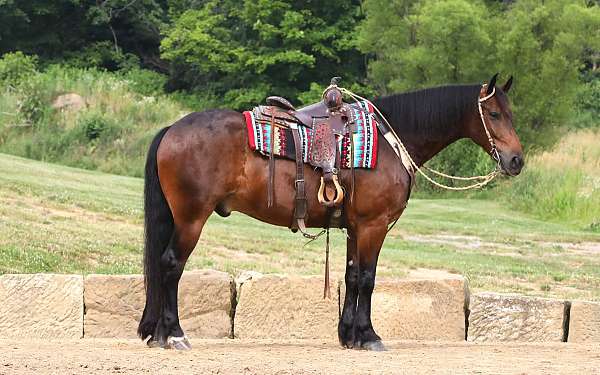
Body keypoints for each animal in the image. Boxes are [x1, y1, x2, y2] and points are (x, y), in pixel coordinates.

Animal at [138, 74, 524, 352]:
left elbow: (352, 276)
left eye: (511, 113)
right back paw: (174, 334)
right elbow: (368, 279)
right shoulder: (373, 226)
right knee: (171, 265)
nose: (516, 160)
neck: (388, 142)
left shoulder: (355, 227)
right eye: (493, 114)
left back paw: (158, 334)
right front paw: (369, 336)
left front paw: (349, 335)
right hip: (191, 218)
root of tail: (172, 129)